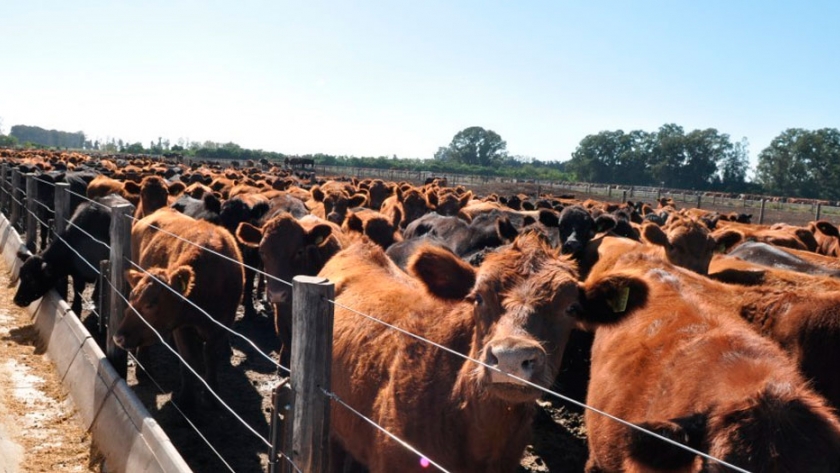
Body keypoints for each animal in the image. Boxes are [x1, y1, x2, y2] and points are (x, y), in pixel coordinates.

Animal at [112, 208, 243, 412]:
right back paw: (143, 368)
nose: (118, 337)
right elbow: (188, 360)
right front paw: (186, 401)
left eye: (151, 304)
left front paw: (212, 396)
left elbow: (210, 357)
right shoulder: (181, 327)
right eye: (132, 298)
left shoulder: (222, 325)